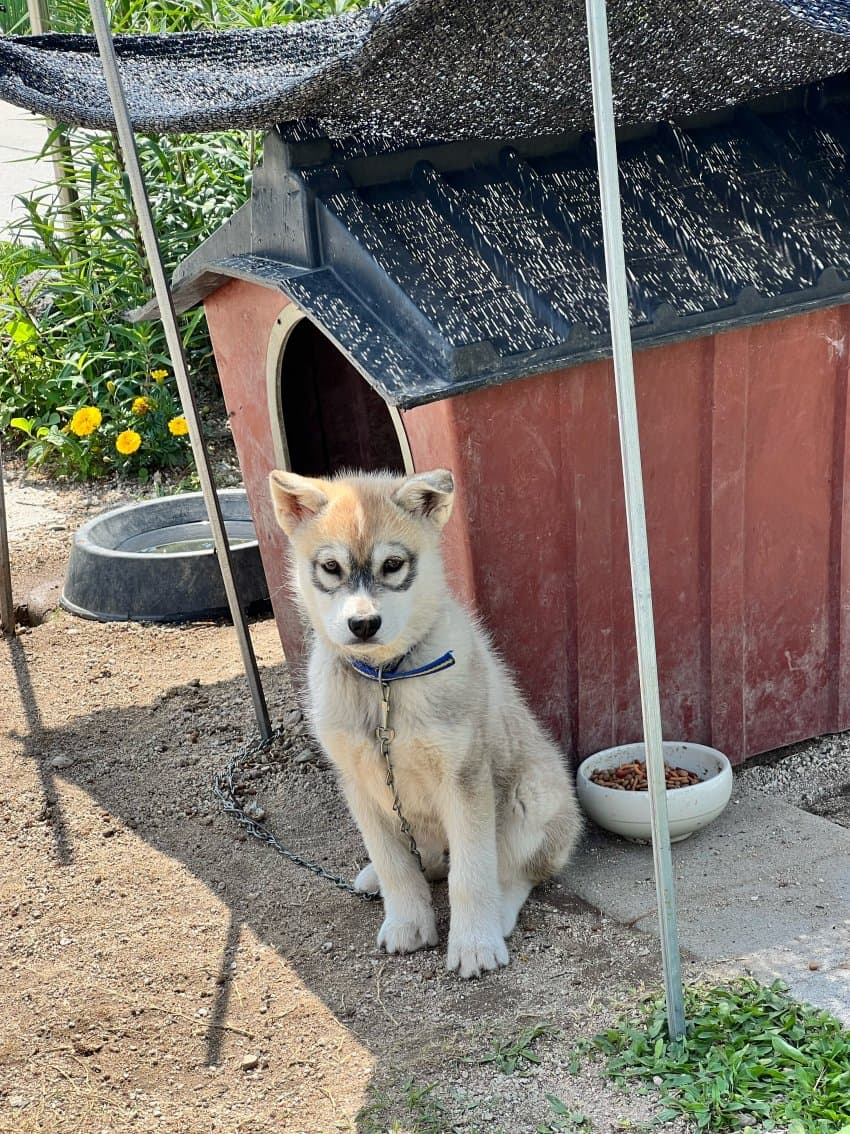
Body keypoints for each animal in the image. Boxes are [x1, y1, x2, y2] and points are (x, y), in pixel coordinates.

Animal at [269, 464, 584, 979]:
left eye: (393, 565)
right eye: (331, 568)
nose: (363, 625)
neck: (383, 681)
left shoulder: (465, 778)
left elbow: (471, 875)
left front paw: (474, 945)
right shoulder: (358, 783)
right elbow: (395, 864)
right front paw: (406, 922)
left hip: (531, 798)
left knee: (515, 870)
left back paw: (498, 914)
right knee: (425, 862)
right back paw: (377, 878)